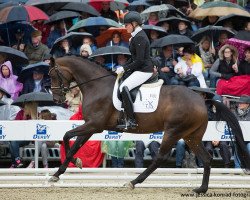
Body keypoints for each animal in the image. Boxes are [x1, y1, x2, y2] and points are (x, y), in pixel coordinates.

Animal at [48, 55, 250, 193]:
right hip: (191, 135)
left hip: (173, 131)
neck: (97, 86)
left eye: (53, 75)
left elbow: (66, 136)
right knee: (206, 158)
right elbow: (74, 145)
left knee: (160, 157)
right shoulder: (91, 126)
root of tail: (202, 100)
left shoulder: (94, 125)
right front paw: (60, 172)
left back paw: (133, 182)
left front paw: (67, 168)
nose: (57, 99)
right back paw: (201, 189)